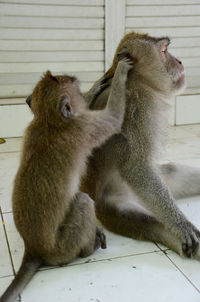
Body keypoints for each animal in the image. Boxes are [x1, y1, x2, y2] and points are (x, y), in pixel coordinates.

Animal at [0, 57, 134, 302]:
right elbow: (113, 118)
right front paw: (121, 72)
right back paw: (89, 248)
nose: (81, 91)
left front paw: (98, 85)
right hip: (62, 248)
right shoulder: (84, 128)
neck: (48, 121)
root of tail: (33, 249)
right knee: (83, 201)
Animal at [80, 31, 200, 262]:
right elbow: (136, 168)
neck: (137, 82)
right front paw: (181, 225)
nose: (180, 61)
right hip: (117, 209)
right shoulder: (133, 113)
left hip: (163, 184)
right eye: (164, 51)